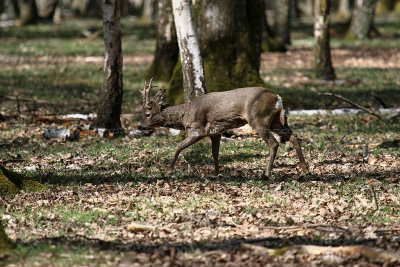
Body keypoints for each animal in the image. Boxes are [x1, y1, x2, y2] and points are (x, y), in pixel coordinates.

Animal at [141, 79, 310, 180]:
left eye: (147, 113)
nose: (140, 126)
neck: (184, 115)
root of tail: (278, 98)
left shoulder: (198, 130)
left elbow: (178, 147)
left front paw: (169, 171)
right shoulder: (215, 132)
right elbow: (215, 153)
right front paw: (217, 173)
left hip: (259, 119)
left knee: (274, 143)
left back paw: (266, 174)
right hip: (275, 121)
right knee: (293, 136)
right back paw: (305, 169)